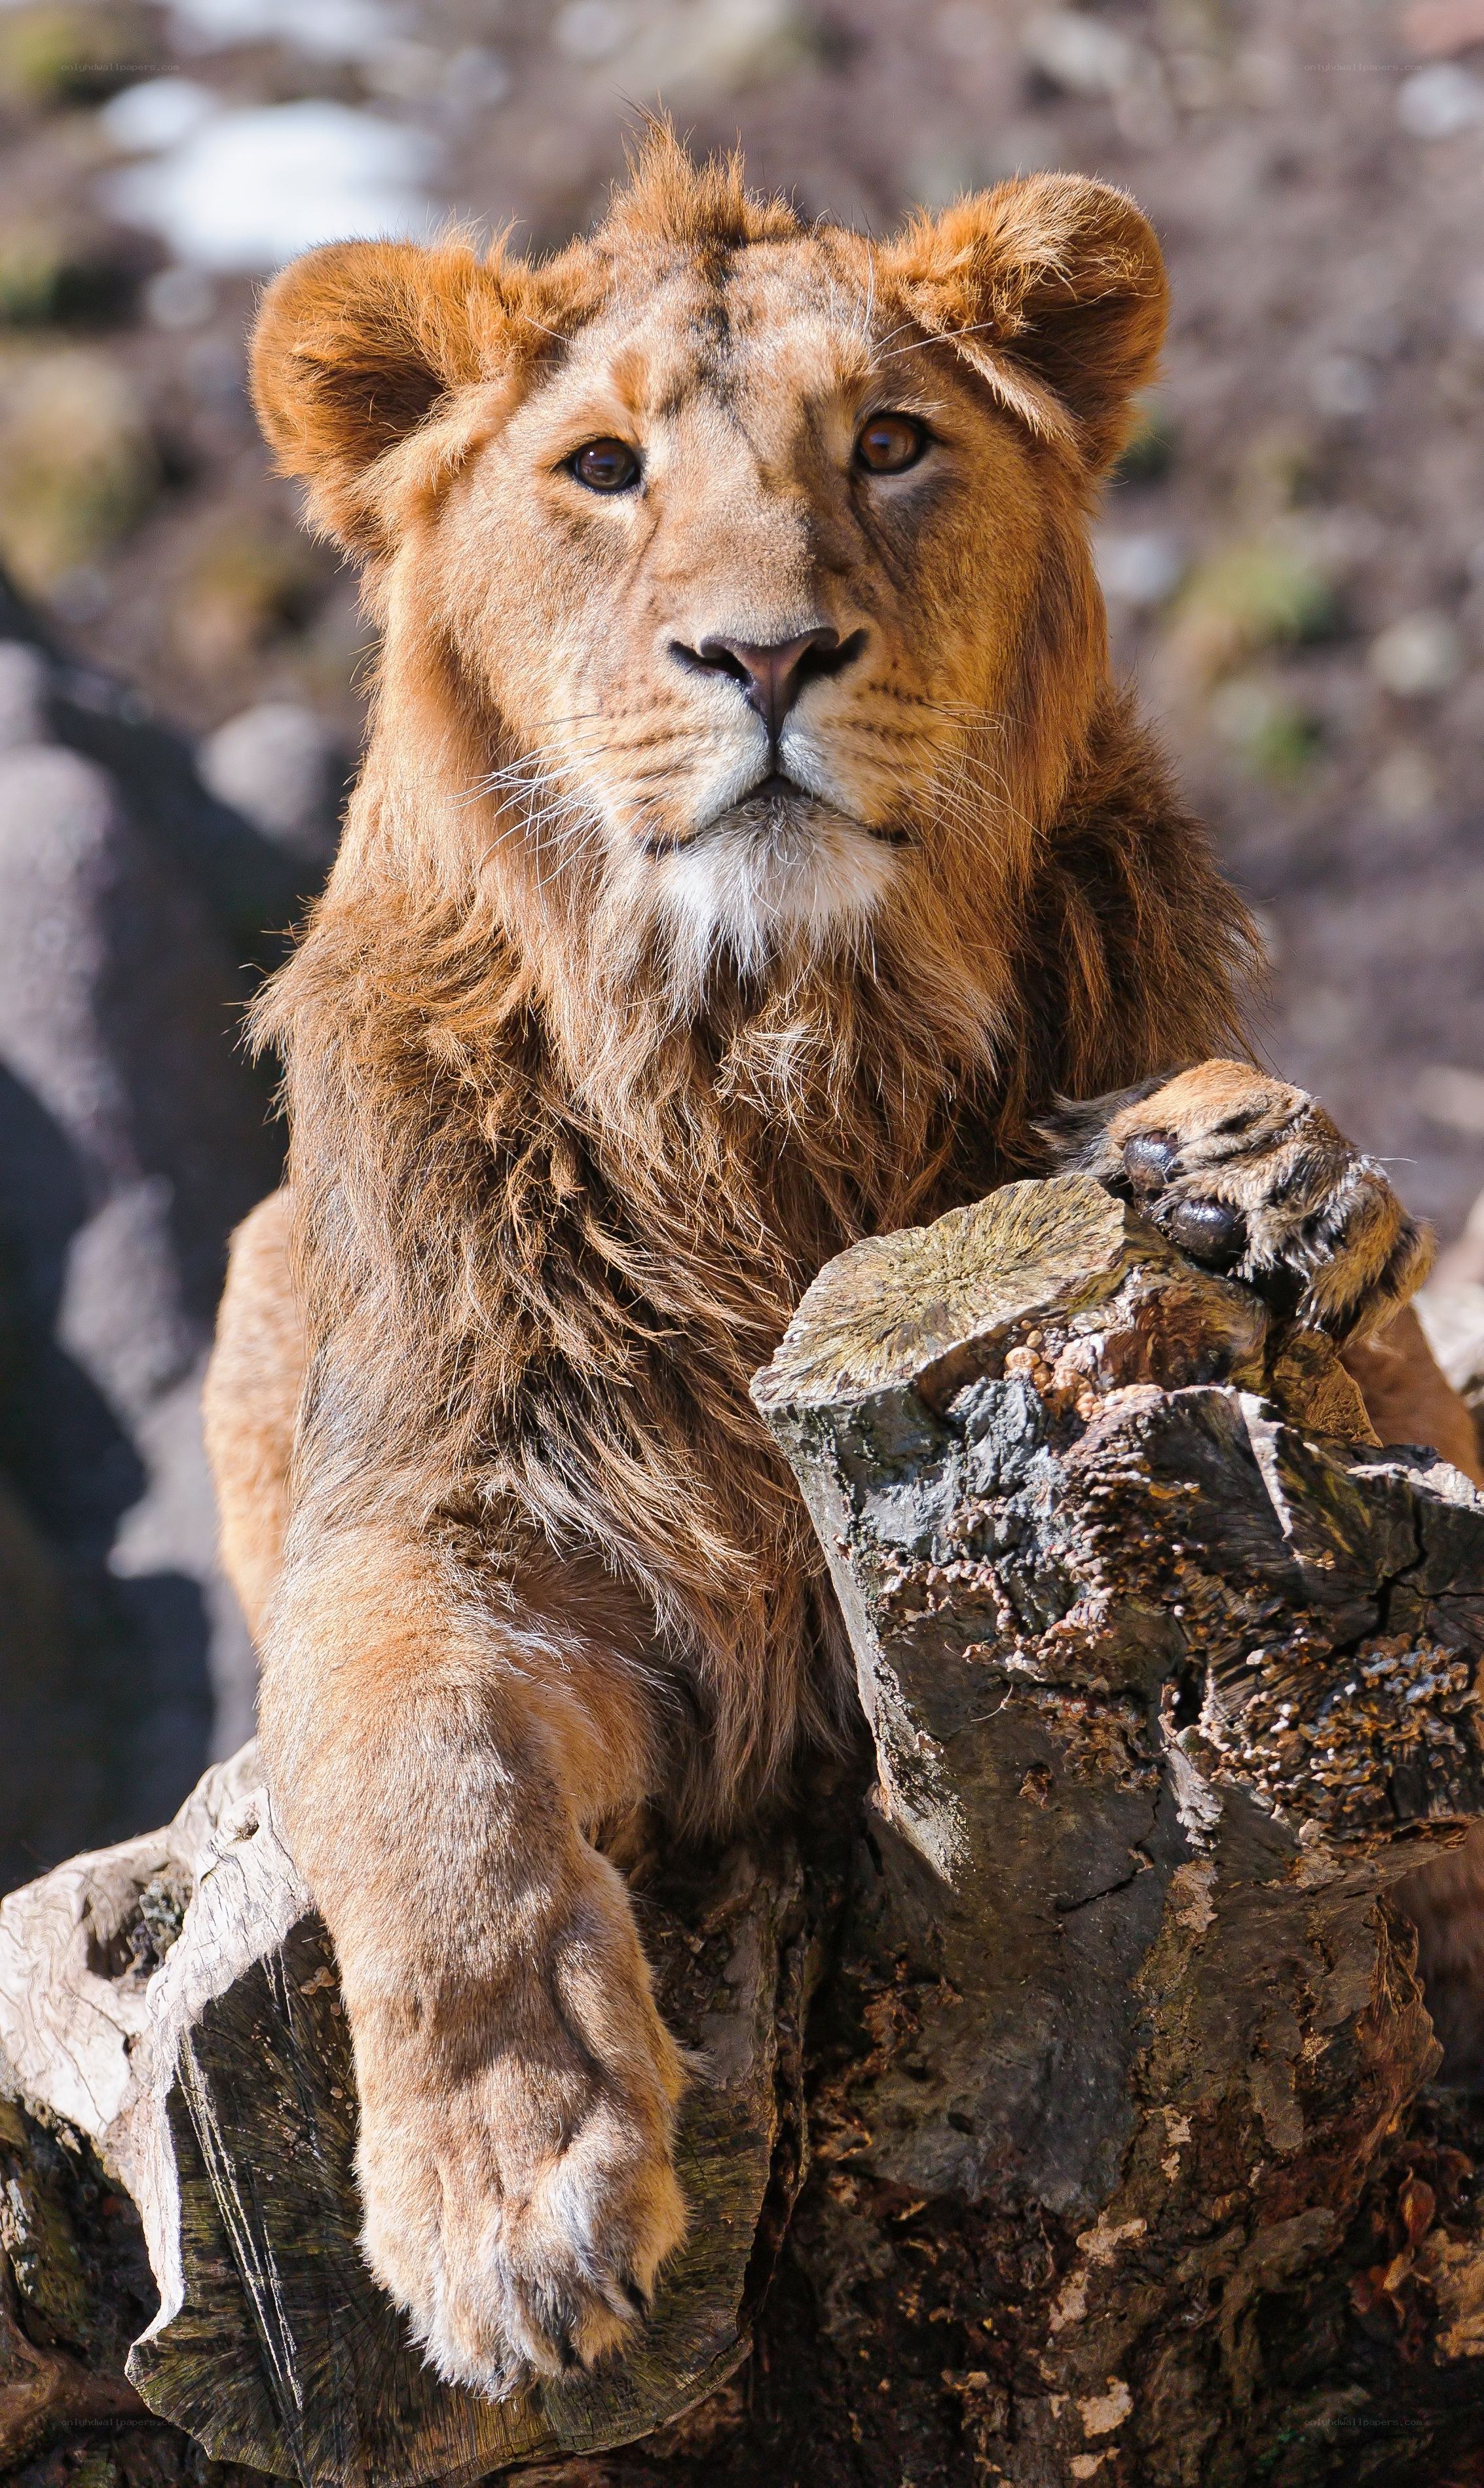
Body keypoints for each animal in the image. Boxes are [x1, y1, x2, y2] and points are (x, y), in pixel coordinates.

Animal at [203, 134, 1477, 2398]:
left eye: (887, 444)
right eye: (601, 468)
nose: (769, 654)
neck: (782, 1063)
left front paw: (1254, 1163)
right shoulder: (436, 1518)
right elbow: (424, 1797)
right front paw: (512, 2214)